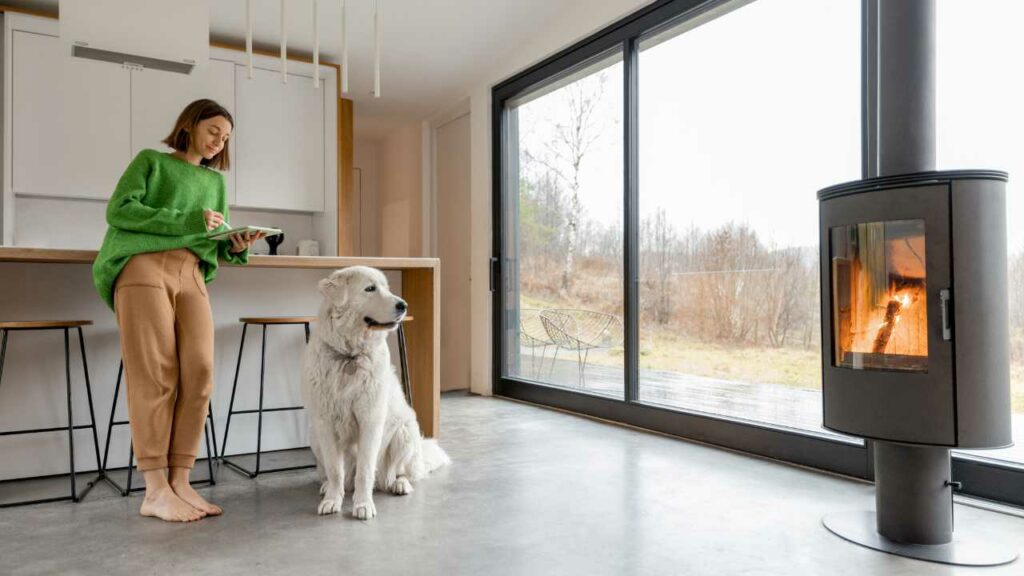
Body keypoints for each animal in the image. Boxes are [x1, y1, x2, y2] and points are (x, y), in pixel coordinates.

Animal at [301, 266, 450, 518]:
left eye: (387, 288)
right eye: (370, 288)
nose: (403, 305)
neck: (350, 355)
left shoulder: (370, 420)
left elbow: (365, 470)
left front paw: (363, 505)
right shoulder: (324, 423)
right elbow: (335, 470)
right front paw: (332, 500)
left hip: (404, 432)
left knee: (398, 474)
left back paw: (399, 484)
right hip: (314, 437)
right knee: (339, 475)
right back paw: (327, 487)